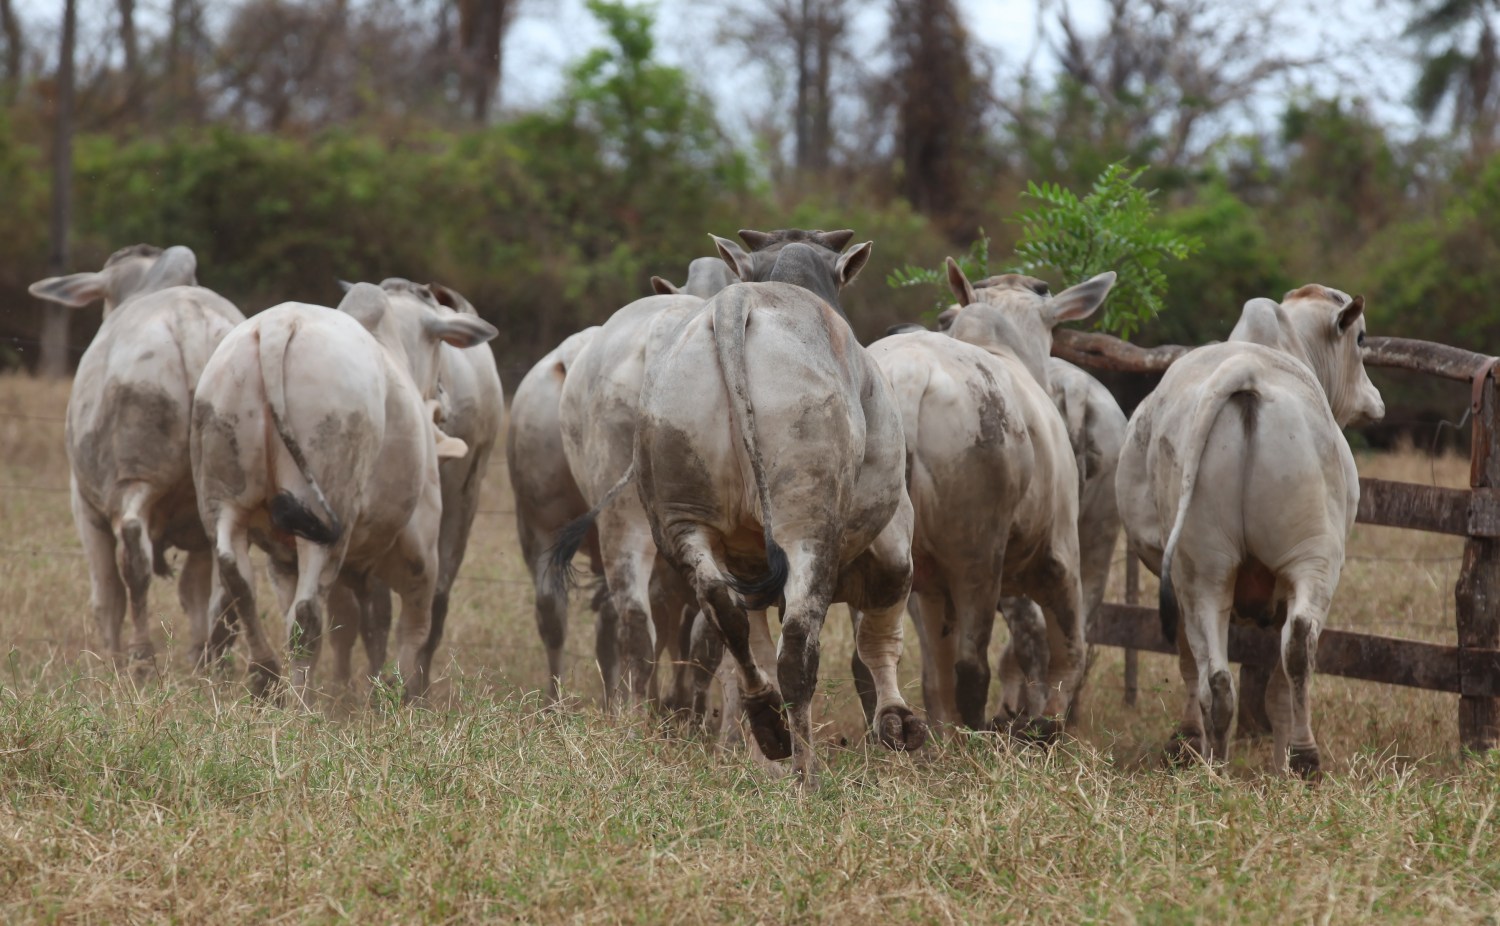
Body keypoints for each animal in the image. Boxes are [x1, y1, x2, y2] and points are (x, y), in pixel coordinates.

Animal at [28, 243, 246, 663]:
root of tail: (189, 320)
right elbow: (193, 591)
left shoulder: (85, 508)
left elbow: (107, 596)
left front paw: (110, 658)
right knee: (227, 573)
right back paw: (211, 656)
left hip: (134, 476)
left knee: (134, 555)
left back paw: (141, 656)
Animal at [190, 285, 495, 696]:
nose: (444, 399)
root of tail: (276, 327)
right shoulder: (421, 554)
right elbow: (412, 629)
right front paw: (402, 693)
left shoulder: (283, 559)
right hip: (327, 519)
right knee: (306, 620)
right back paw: (299, 698)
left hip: (223, 501)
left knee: (239, 582)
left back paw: (266, 675)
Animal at [1116, 282, 1380, 774]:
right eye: (1361, 339)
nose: (1374, 401)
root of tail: (1247, 368)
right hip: (1308, 560)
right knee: (1292, 650)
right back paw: (1299, 758)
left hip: (1208, 572)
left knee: (1222, 678)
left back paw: (1218, 765)